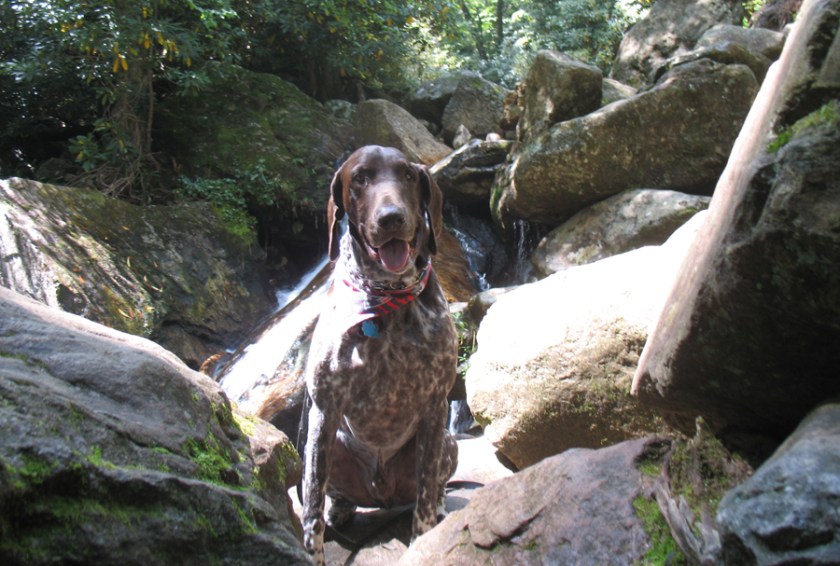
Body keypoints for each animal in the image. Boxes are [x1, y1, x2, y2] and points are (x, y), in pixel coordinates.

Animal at [301, 146, 459, 563]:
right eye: (360, 178)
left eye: (407, 175)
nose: (392, 218)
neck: (386, 301)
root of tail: (382, 493)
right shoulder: (323, 412)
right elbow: (311, 515)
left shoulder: (435, 406)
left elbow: (424, 503)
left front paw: (425, 542)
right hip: (322, 448)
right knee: (332, 495)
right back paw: (340, 508)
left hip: (448, 444)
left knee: (433, 488)